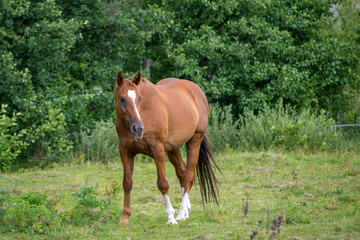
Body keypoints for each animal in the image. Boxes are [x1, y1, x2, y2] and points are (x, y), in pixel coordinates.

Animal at [113, 71, 219, 225]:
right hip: (173, 149)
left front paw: (171, 218)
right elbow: (127, 183)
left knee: (189, 175)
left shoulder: (158, 151)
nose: (138, 129)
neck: (145, 113)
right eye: (122, 99)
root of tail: (196, 90)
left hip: (194, 141)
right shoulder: (125, 151)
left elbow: (162, 183)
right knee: (182, 173)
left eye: (139, 98)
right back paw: (186, 210)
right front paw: (125, 217)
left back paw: (181, 213)